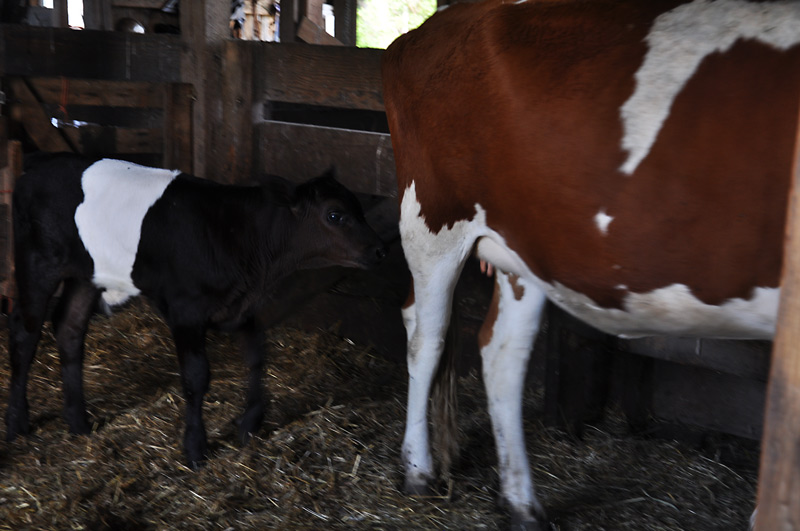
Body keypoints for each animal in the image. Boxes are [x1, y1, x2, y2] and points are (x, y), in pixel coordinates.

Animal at [5, 153, 387, 468]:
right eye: (335, 214)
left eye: (359, 209)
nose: (380, 250)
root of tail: (34, 166)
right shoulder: (186, 311)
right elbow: (196, 377)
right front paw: (194, 448)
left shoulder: (240, 307)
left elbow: (256, 356)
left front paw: (251, 423)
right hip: (37, 263)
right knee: (25, 333)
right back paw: (17, 422)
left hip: (86, 272)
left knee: (68, 327)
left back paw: (79, 422)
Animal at [382, 0, 800, 528]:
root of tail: (426, 30)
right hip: (432, 219)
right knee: (427, 336)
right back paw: (418, 470)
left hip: (522, 244)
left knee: (502, 351)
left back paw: (521, 504)